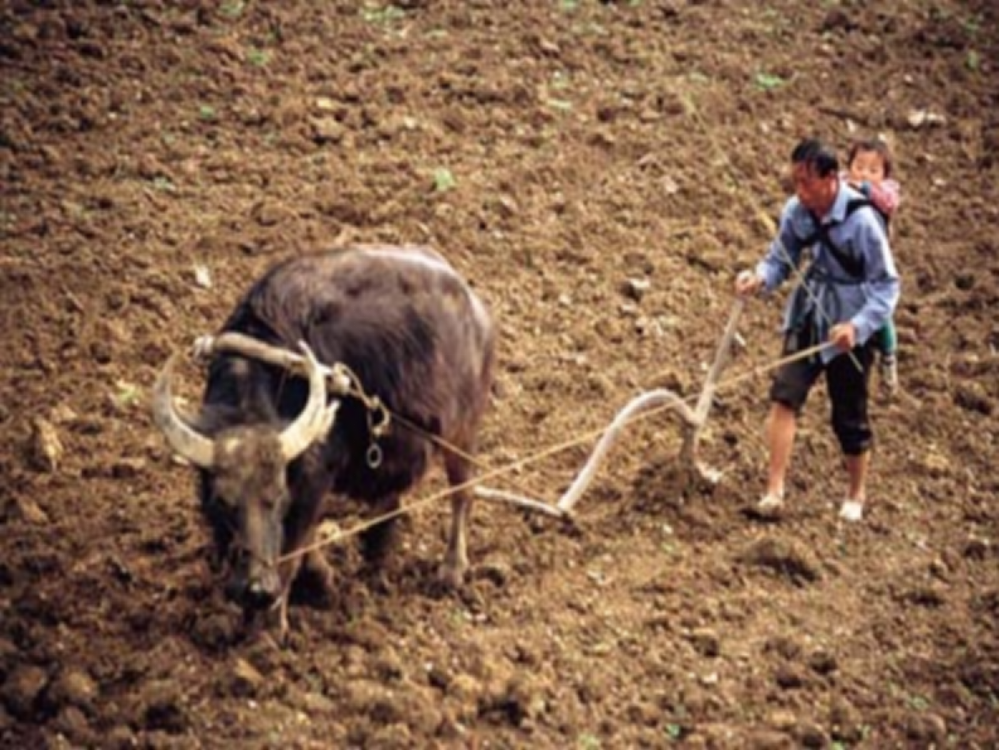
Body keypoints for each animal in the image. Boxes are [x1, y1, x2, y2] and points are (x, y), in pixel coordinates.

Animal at [151, 248, 496, 640]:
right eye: (221, 501)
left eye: (277, 497)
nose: (256, 589)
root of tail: (477, 311)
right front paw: (318, 580)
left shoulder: (314, 479)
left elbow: (293, 549)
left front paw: (271, 629)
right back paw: (376, 547)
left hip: (463, 431)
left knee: (462, 492)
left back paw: (451, 570)